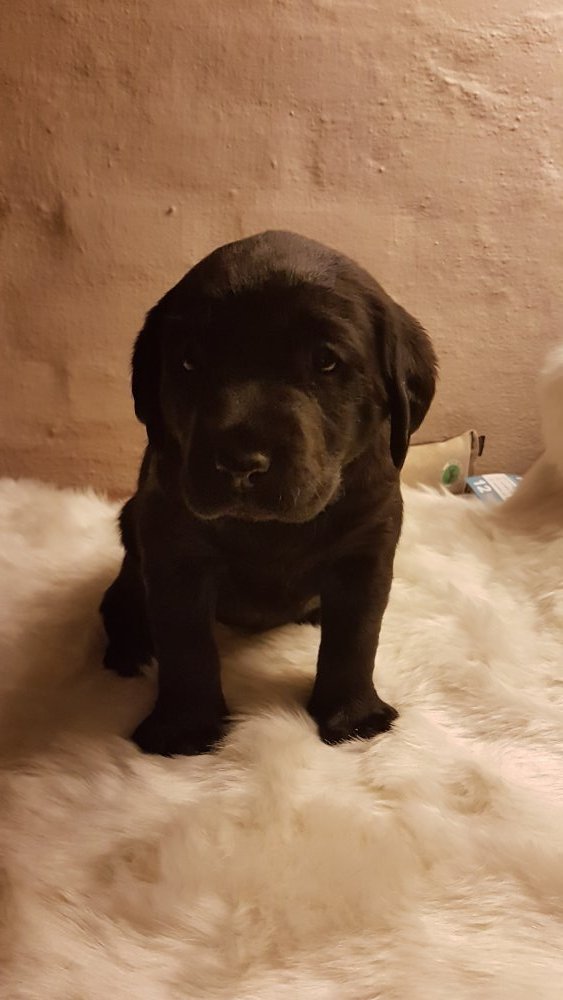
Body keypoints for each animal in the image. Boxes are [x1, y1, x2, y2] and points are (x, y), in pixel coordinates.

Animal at [100, 231, 437, 756]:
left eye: (326, 361)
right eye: (189, 362)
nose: (240, 463)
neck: (270, 531)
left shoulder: (367, 549)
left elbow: (356, 637)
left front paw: (352, 715)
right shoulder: (173, 551)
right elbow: (185, 644)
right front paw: (185, 729)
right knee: (120, 600)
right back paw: (132, 645)